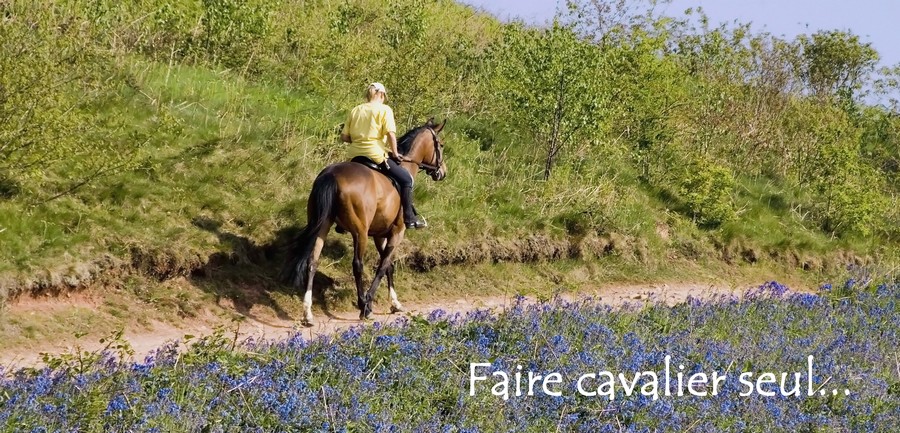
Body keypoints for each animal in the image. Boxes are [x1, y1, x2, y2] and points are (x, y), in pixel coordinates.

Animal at [282, 118, 446, 324]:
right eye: (440, 145)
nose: (442, 172)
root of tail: (331, 175)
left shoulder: (379, 235)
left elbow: (388, 266)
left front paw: (395, 303)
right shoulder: (397, 232)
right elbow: (383, 266)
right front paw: (369, 301)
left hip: (322, 226)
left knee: (313, 261)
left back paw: (308, 312)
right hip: (360, 232)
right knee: (357, 265)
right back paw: (363, 306)